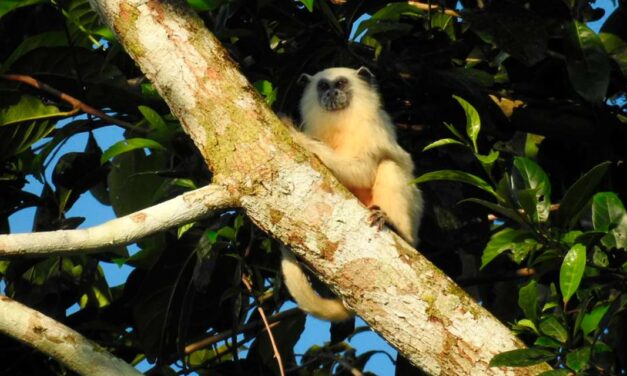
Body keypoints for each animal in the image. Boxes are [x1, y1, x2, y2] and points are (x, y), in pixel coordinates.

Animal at [280, 67, 424, 320]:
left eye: (340, 83)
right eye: (323, 86)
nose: (331, 93)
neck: (340, 124)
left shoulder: (371, 128)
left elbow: (363, 171)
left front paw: (298, 136)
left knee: (388, 167)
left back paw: (396, 227)